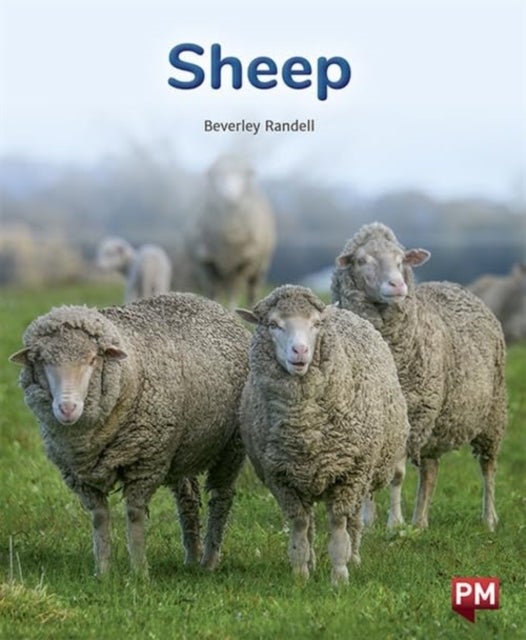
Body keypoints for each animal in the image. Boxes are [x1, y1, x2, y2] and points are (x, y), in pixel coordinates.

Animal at [9, 293, 250, 577]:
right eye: (43, 362)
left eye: (93, 359)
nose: (67, 408)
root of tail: (207, 301)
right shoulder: (81, 477)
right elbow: (99, 517)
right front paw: (102, 572)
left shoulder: (145, 464)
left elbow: (134, 515)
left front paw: (139, 572)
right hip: (182, 450)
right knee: (188, 498)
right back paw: (192, 557)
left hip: (231, 447)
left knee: (221, 497)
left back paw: (209, 561)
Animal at [191, 154, 276, 308]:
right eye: (217, 175)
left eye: (244, 175)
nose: (229, 196)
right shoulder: (205, 262)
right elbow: (212, 291)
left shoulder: (243, 262)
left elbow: (234, 293)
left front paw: (232, 311)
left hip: (261, 266)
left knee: (251, 291)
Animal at [236, 285, 409, 585]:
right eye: (273, 325)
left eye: (316, 324)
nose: (300, 350)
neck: (303, 427)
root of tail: (339, 309)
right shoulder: (282, 478)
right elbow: (299, 525)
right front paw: (300, 573)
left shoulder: (348, 475)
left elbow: (339, 524)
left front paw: (340, 575)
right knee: (311, 523)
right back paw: (313, 561)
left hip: (363, 473)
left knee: (353, 520)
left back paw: (354, 557)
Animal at [331, 222, 507, 531]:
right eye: (362, 260)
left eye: (401, 260)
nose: (397, 285)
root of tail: (454, 285)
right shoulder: (377, 421)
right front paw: (367, 521)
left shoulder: (411, 418)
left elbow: (397, 474)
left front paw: (394, 523)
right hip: (436, 423)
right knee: (431, 471)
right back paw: (420, 522)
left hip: (492, 414)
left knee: (488, 467)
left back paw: (488, 519)